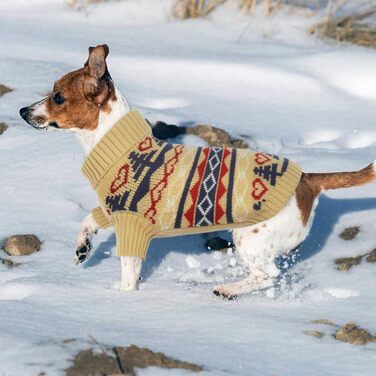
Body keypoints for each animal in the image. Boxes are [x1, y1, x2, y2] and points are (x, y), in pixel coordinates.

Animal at [19, 44, 376, 298]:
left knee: (266, 276)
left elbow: (128, 275)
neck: (115, 143)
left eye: (58, 97)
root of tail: (306, 180)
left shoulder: (131, 229)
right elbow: (88, 219)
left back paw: (227, 289)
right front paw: (83, 248)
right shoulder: (112, 211)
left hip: (250, 237)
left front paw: (122, 299)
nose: (22, 111)